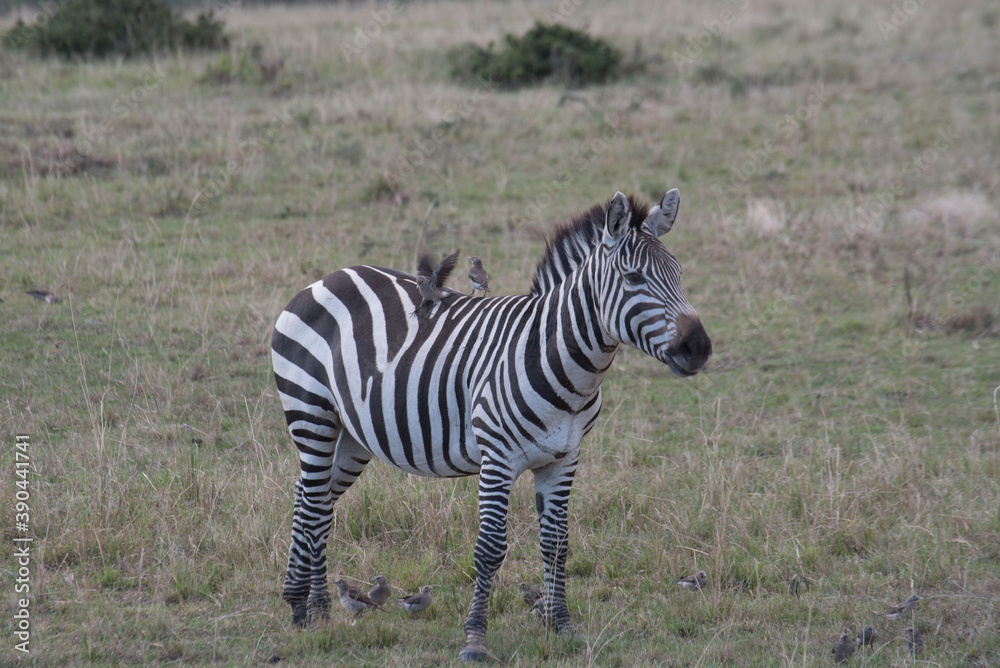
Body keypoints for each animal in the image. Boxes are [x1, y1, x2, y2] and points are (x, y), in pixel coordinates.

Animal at [270, 190, 712, 661]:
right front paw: (474, 638)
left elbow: (557, 545)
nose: (699, 347)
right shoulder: (497, 458)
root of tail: (325, 279)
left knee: (312, 498)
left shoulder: (563, 458)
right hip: (311, 413)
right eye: (633, 278)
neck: (558, 359)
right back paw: (308, 609)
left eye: (678, 274)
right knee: (314, 505)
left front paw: (562, 626)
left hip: (351, 436)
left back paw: (308, 605)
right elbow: (489, 550)